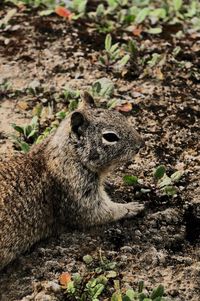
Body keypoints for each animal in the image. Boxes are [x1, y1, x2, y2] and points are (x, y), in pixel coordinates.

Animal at [0, 91, 144, 268]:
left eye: (121, 116)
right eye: (110, 137)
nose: (141, 144)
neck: (67, 153)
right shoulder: (78, 191)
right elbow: (99, 212)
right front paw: (130, 207)